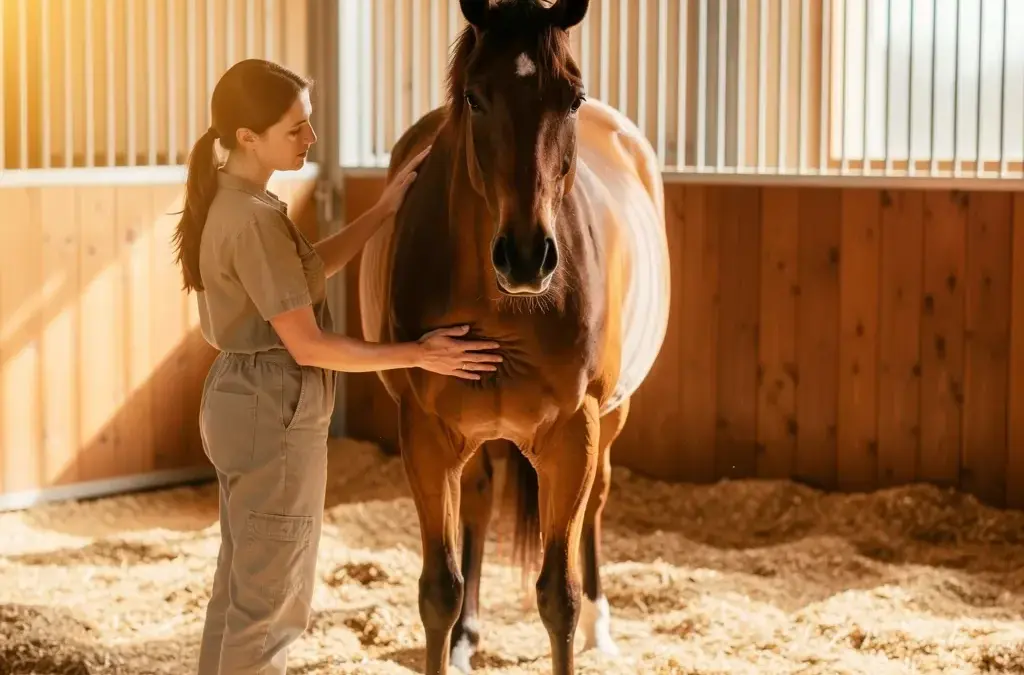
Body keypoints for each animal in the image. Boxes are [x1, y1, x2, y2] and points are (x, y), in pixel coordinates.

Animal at [357, 1, 670, 673]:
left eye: (572, 98)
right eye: (475, 97)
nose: (527, 257)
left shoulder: (574, 433)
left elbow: (559, 597)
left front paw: (580, 618)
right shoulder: (425, 433)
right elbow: (438, 591)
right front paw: (453, 636)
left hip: (615, 414)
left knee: (597, 504)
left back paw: (604, 627)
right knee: (478, 501)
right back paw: (469, 638)